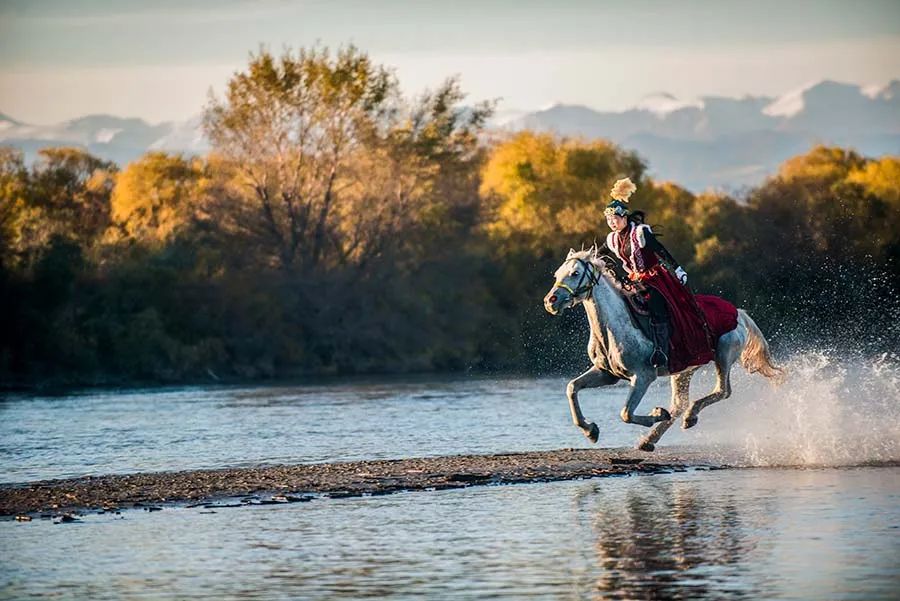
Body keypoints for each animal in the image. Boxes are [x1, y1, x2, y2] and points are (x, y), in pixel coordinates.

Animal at [540, 247, 780, 450]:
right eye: (557, 274)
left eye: (575, 273)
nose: (550, 301)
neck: (613, 326)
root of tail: (739, 313)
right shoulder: (606, 374)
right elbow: (572, 387)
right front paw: (590, 431)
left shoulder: (643, 376)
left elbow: (626, 413)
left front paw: (656, 413)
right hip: (684, 369)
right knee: (680, 403)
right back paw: (649, 440)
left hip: (724, 354)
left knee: (722, 391)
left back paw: (689, 417)